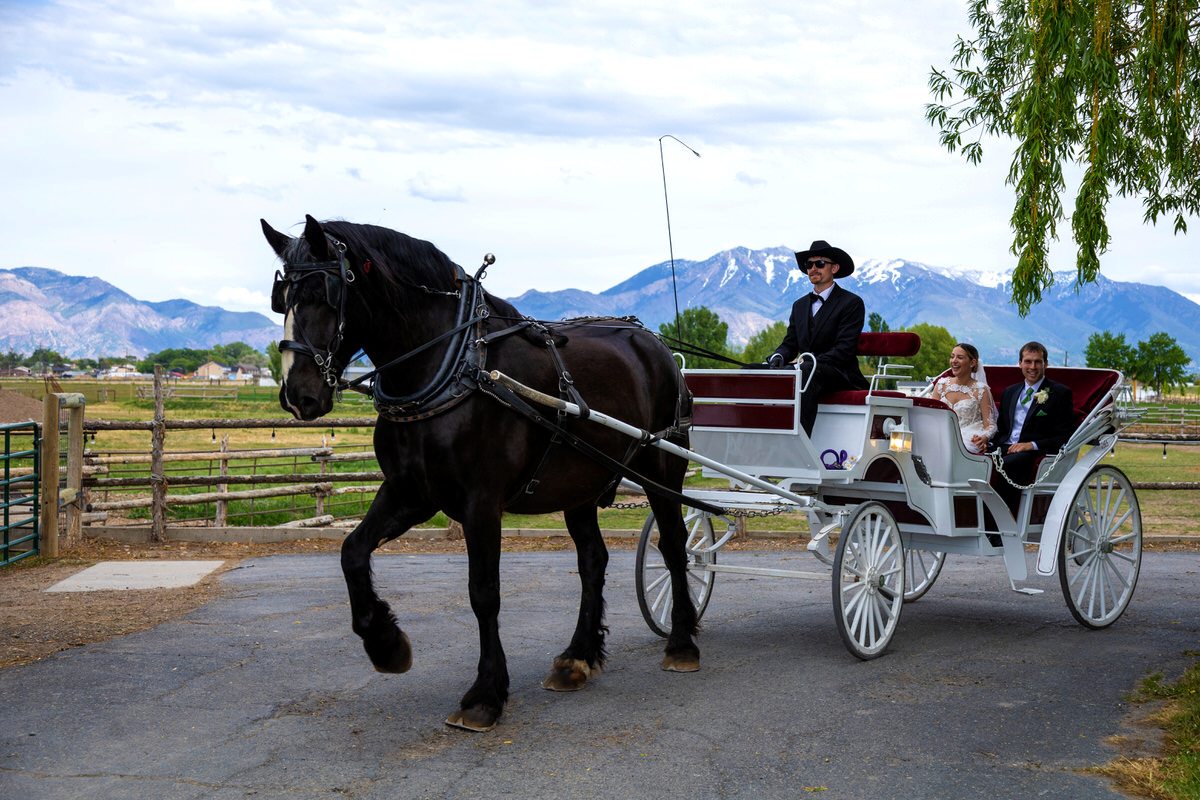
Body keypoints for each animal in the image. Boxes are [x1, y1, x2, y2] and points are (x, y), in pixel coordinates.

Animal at [262, 215, 702, 731]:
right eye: (282, 299)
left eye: (325, 295)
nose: (298, 395)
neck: (452, 366)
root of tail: (654, 343)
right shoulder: (411, 492)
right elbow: (352, 551)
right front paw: (385, 644)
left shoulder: (481, 503)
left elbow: (483, 593)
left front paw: (485, 694)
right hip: (580, 485)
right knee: (593, 561)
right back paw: (577, 656)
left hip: (663, 468)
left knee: (674, 546)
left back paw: (682, 643)